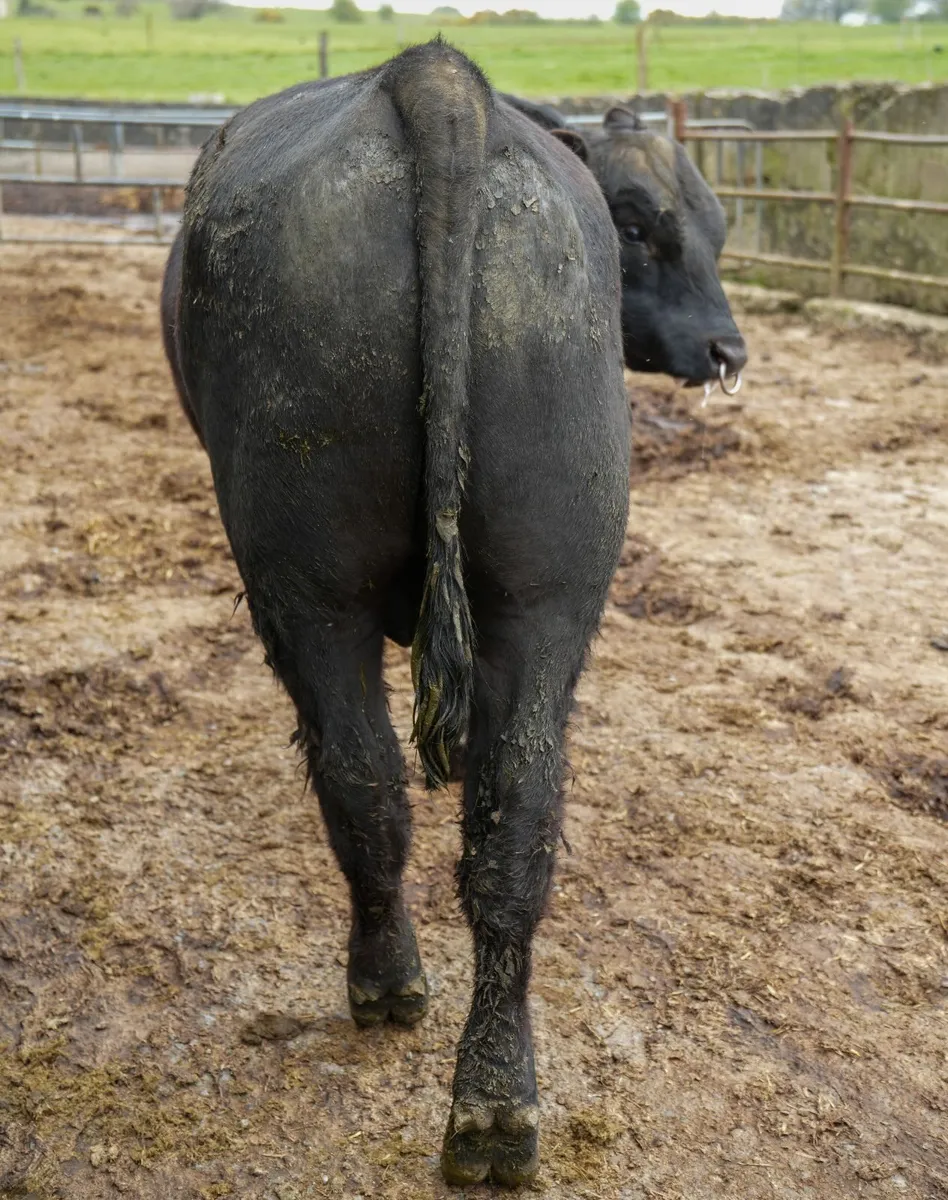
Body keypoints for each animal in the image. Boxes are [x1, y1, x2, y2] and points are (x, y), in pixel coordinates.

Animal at [163, 40, 630, 1187]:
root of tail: (432, 80)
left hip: (305, 585)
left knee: (359, 780)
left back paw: (385, 986)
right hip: (549, 584)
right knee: (516, 817)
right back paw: (495, 1111)